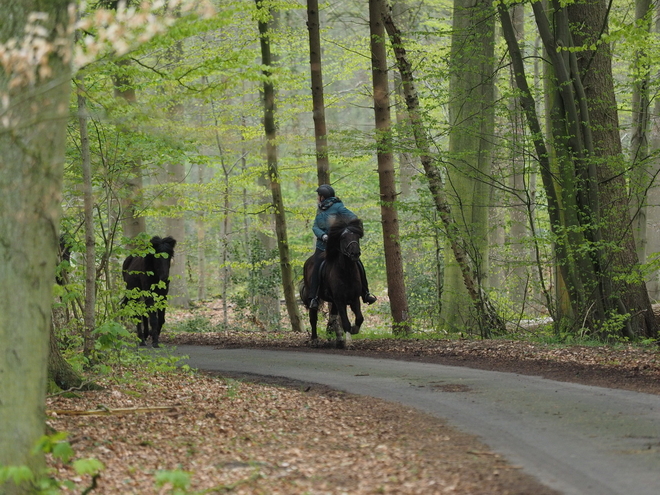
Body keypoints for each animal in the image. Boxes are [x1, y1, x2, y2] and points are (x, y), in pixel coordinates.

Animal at [300, 217, 364, 348]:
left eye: (357, 236)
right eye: (343, 237)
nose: (355, 254)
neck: (346, 272)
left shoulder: (354, 297)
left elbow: (359, 318)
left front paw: (354, 330)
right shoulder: (339, 300)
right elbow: (345, 321)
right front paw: (349, 342)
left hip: (334, 301)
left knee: (333, 316)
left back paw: (338, 339)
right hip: (313, 296)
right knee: (313, 317)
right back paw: (314, 339)